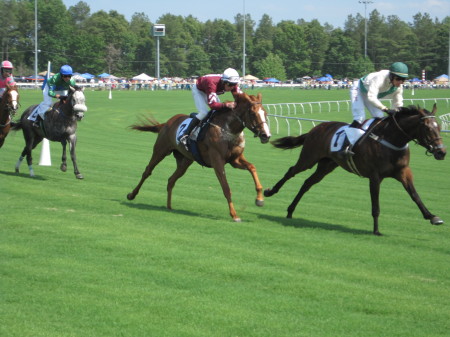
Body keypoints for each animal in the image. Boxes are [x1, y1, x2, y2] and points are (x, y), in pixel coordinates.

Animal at [126, 91, 270, 220]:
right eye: (253, 113)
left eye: (265, 113)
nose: (266, 135)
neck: (228, 130)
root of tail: (166, 123)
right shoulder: (217, 161)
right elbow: (226, 188)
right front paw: (234, 215)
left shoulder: (235, 160)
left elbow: (252, 168)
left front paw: (259, 199)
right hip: (160, 151)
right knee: (147, 171)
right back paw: (132, 195)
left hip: (185, 161)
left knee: (171, 180)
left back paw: (169, 206)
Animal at [264, 103, 446, 235]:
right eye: (428, 128)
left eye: (439, 126)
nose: (441, 152)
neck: (391, 140)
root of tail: (316, 128)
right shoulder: (375, 176)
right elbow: (375, 205)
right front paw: (376, 230)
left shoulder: (403, 172)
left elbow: (415, 195)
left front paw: (432, 217)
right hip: (309, 158)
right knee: (291, 171)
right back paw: (270, 192)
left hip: (327, 165)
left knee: (307, 183)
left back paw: (290, 211)